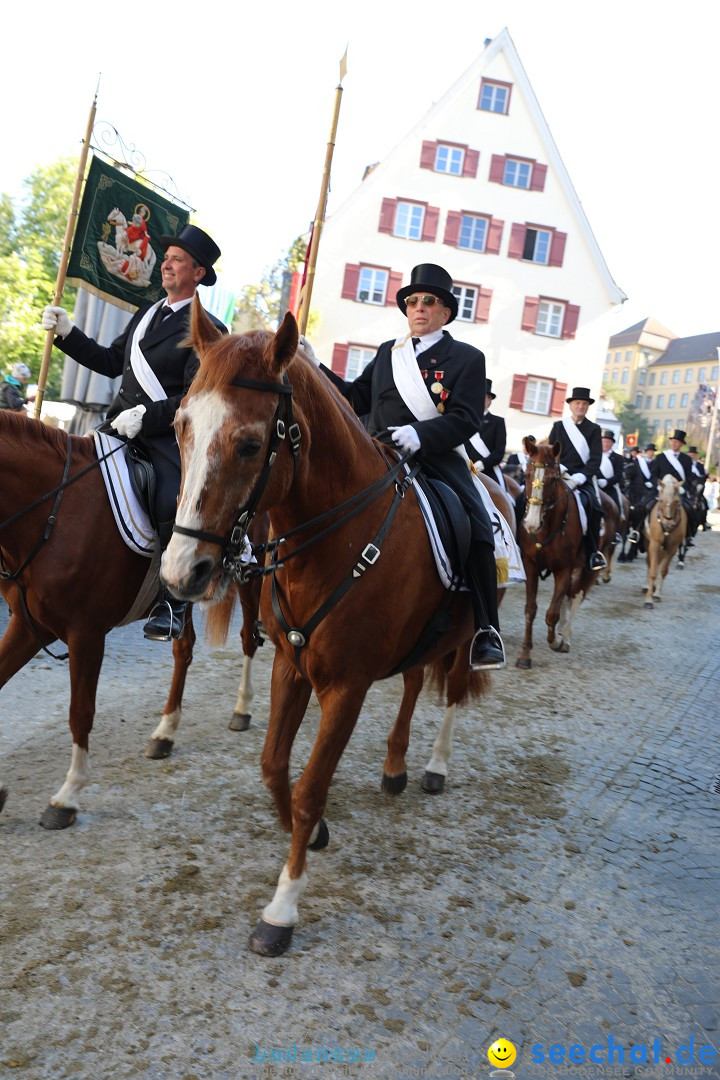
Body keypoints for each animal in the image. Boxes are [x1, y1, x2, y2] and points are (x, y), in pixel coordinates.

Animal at [0, 410, 263, 825]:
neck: (53, 511)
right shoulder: (29, 625)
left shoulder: (86, 633)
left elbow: (80, 712)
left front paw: (67, 796)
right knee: (184, 649)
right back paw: (164, 732)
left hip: (254, 574)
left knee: (250, 637)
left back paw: (242, 710)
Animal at [161, 302, 500, 954]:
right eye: (180, 428)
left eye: (249, 444)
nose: (181, 572)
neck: (334, 538)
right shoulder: (290, 664)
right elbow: (274, 765)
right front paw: (312, 833)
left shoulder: (347, 685)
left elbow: (310, 785)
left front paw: (282, 909)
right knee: (415, 684)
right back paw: (395, 767)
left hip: (466, 639)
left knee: (451, 692)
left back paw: (435, 766)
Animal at [518, 438, 621, 665]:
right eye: (527, 475)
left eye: (553, 478)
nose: (531, 524)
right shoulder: (530, 567)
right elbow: (530, 609)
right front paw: (525, 654)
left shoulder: (563, 569)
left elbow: (552, 613)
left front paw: (555, 641)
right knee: (567, 597)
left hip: (589, 567)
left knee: (575, 595)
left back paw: (564, 637)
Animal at [643, 473, 690, 609]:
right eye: (661, 500)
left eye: (677, 501)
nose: (668, 525)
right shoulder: (654, 544)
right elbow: (653, 571)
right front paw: (648, 600)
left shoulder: (672, 547)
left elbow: (663, 570)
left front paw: (657, 594)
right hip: (648, 543)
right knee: (650, 563)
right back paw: (647, 586)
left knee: (658, 564)